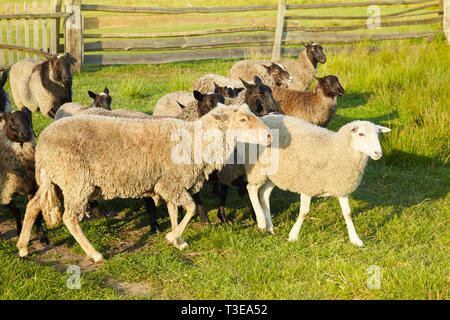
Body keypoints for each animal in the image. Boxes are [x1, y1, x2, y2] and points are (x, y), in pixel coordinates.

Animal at [0, 109, 48, 244]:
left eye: (27, 118)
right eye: (11, 120)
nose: (25, 133)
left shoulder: (32, 188)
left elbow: (35, 215)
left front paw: (42, 236)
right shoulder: (5, 193)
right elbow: (16, 212)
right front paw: (19, 231)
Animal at [16, 104, 270, 262]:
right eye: (243, 119)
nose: (269, 135)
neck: (195, 140)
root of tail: (44, 139)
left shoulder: (168, 182)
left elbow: (173, 210)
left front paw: (178, 240)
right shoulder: (172, 183)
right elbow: (188, 209)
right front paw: (171, 237)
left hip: (53, 178)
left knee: (33, 206)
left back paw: (23, 248)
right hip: (76, 181)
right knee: (70, 218)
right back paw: (94, 254)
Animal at [243, 115, 390, 248]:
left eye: (378, 134)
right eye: (361, 134)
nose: (378, 153)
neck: (335, 149)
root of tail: (264, 118)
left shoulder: (341, 187)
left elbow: (347, 213)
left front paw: (355, 239)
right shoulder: (308, 185)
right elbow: (304, 212)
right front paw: (293, 235)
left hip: (274, 174)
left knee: (264, 194)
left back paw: (270, 226)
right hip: (257, 169)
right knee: (251, 189)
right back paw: (261, 222)